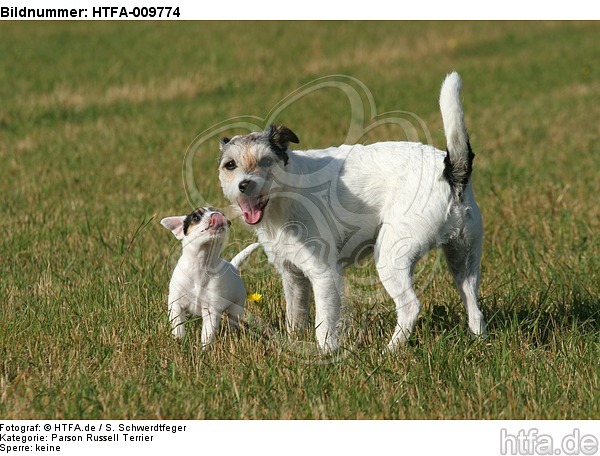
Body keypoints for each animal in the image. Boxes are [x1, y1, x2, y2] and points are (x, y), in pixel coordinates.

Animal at [161, 207, 258, 346]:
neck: (200, 265)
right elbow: (177, 324)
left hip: (236, 307)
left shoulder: (211, 309)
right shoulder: (176, 303)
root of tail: (233, 266)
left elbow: (208, 333)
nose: (217, 215)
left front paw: (205, 349)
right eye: (196, 217)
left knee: (233, 321)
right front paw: (179, 340)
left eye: (222, 214)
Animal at [218, 72, 486, 352]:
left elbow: (324, 324)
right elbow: (295, 316)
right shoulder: (293, 277)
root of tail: (451, 170)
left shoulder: (323, 275)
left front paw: (327, 352)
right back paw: (478, 342)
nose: (245, 185)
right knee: (474, 308)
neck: (286, 195)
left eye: (266, 161)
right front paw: (294, 343)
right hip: (463, 258)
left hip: (390, 257)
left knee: (410, 307)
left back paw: (389, 351)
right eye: (230, 165)